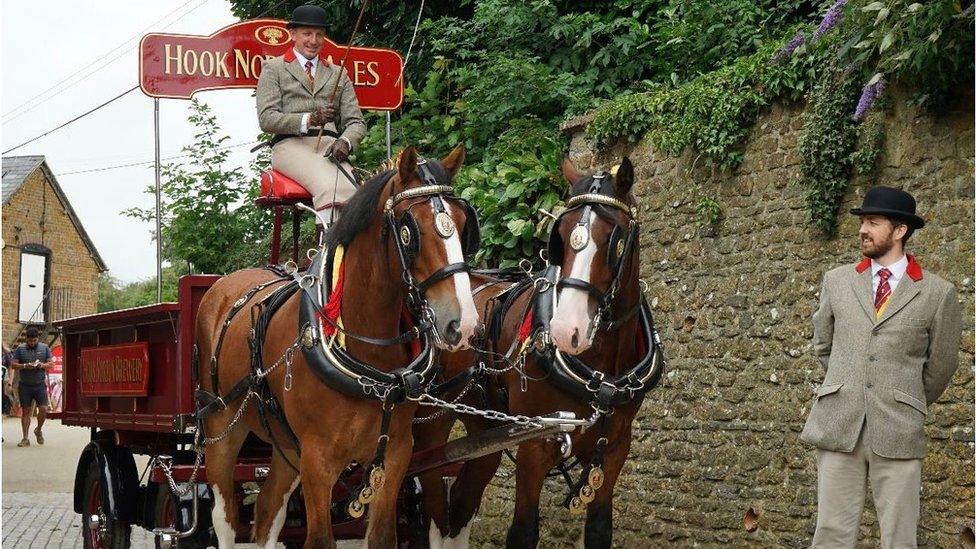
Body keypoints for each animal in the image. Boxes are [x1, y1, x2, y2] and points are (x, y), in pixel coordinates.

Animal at [195, 143, 480, 544]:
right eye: (410, 231)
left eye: (464, 223)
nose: (463, 323)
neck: (372, 362)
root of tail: (222, 285)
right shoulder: (318, 462)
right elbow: (319, 539)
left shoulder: (394, 457)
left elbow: (381, 537)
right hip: (221, 426)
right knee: (226, 519)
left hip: (285, 445)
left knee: (267, 513)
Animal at [416, 156, 668, 544]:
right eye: (560, 236)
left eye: (616, 238)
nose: (567, 330)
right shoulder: (535, 446)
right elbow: (523, 531)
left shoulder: (614, 448)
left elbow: (599, 529)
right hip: (434, 421)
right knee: (430, 505)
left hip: (483, 429)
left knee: (459, 504)